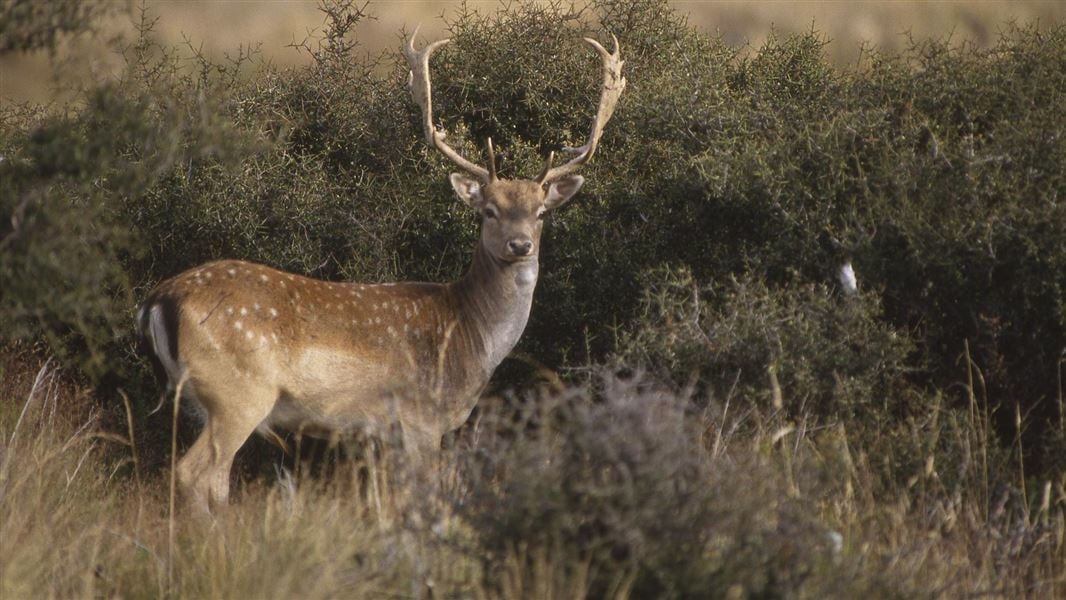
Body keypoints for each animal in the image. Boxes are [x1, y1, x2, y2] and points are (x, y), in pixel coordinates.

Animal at [137, 28, 625, 515]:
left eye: (541, 213)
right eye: (488, 211)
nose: (520, 245)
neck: (469, 336)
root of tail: (159, 299)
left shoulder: (388, 433)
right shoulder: (419, 418)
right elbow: (424, 496)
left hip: (198, 399)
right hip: (238, 393)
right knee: (197, 473)